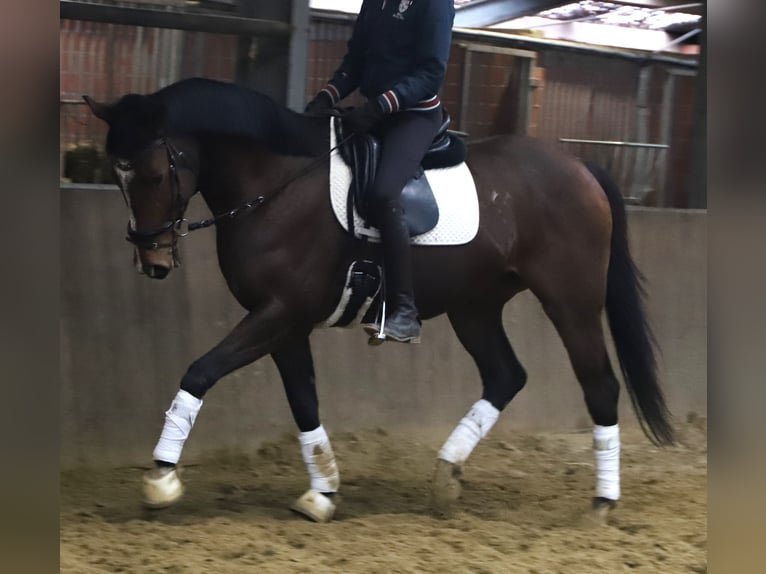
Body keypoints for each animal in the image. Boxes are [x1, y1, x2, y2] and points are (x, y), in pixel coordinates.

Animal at [84, 77, 673, 523]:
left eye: (154, 173)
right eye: (117, 174)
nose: (153, 263)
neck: (277, 185)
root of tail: (580, 167)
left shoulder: (279, 312)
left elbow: (200, 371)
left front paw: (161, 476)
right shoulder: (285, 322)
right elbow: (304, 401)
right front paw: (322, 492)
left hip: (570, 299)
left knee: (599, 383)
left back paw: (601, 502)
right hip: (475, 306)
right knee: (506, 375)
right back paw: (445, 476)